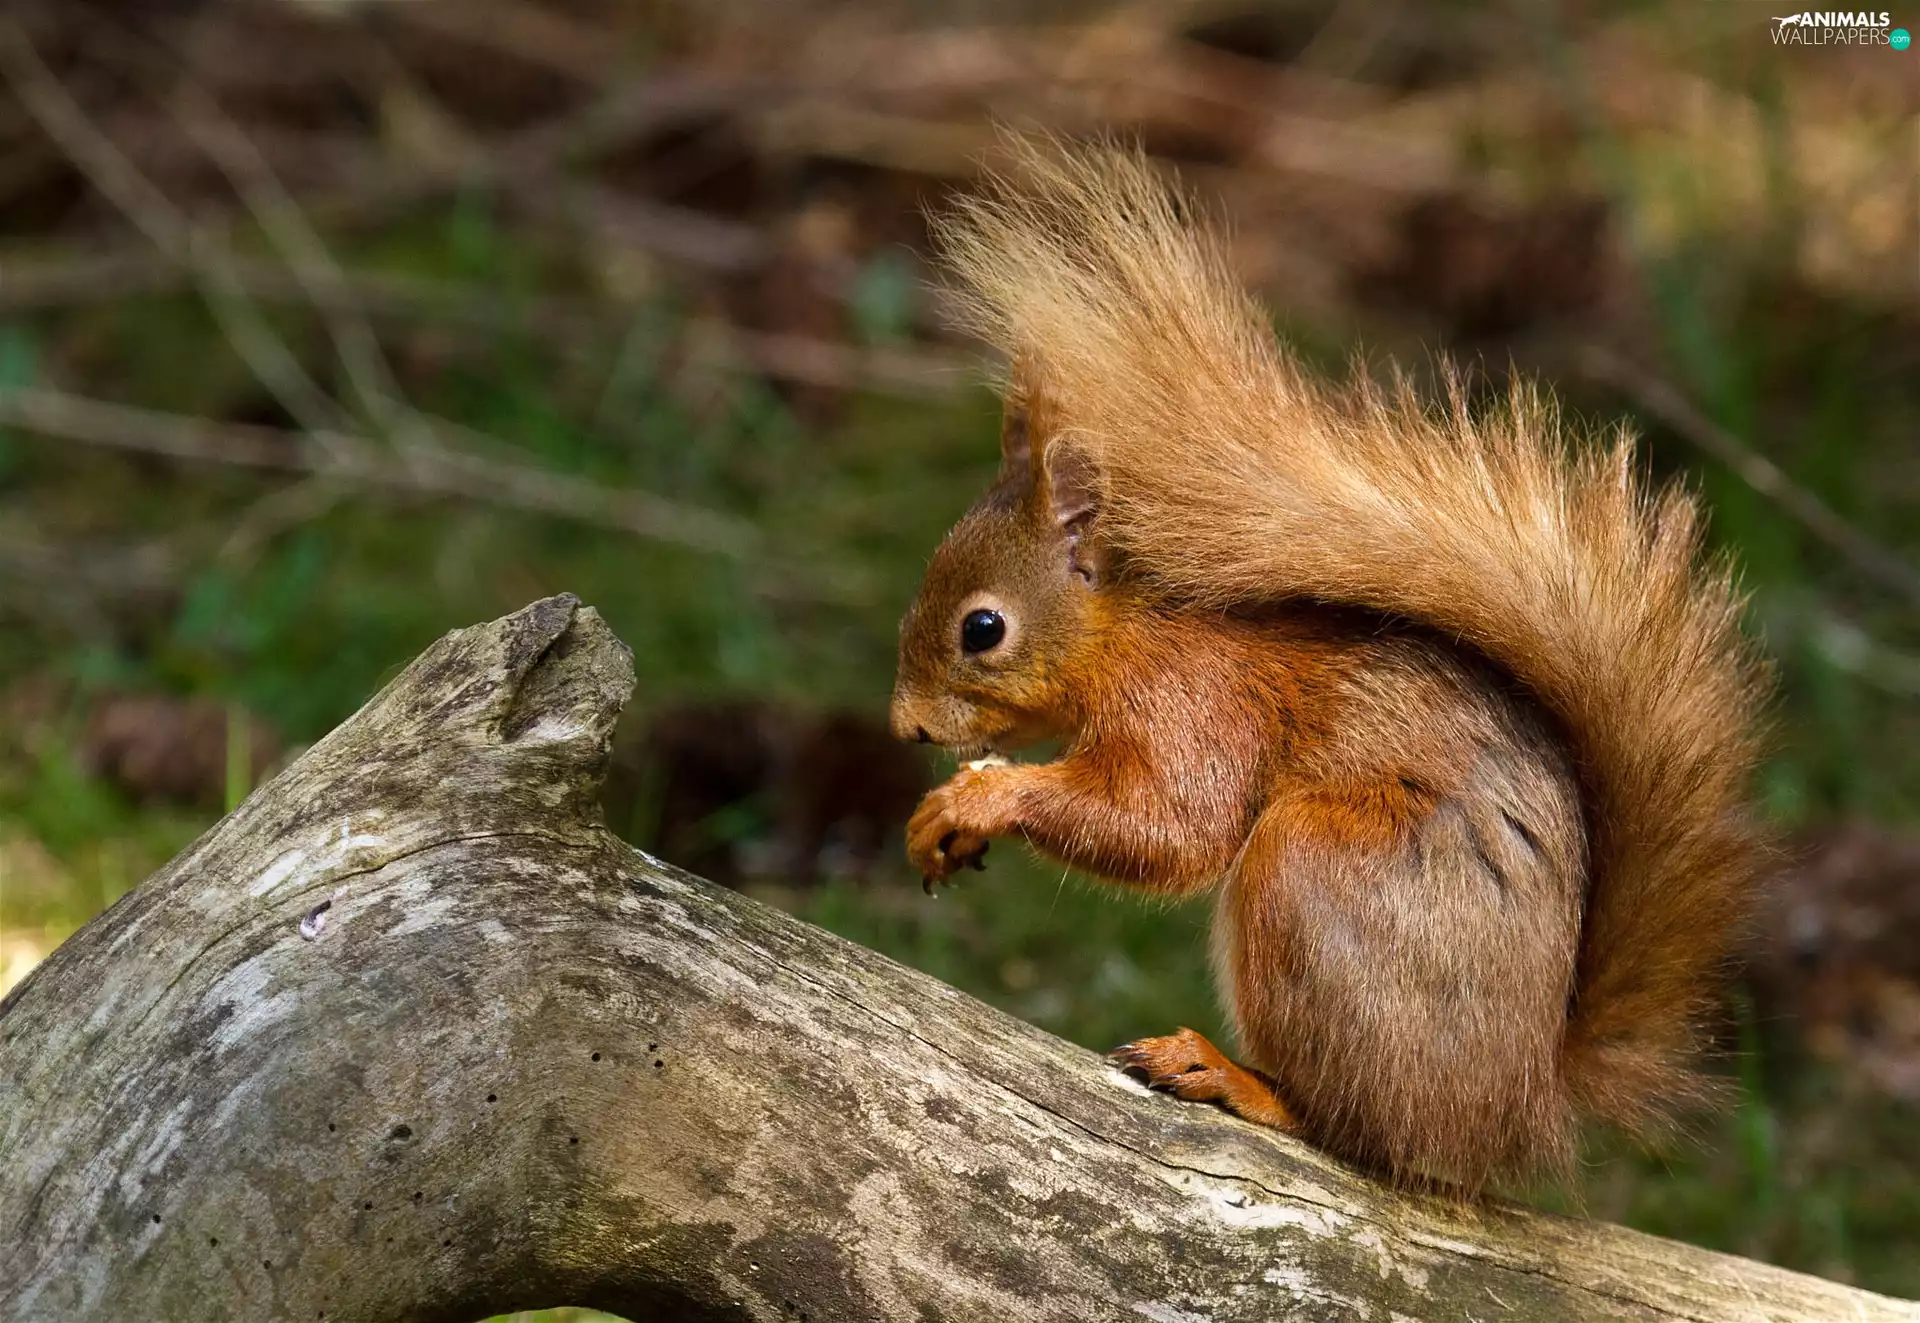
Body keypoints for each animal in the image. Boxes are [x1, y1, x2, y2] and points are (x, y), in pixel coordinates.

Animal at [887, 144, 1769, 1191]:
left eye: (982, 628)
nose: (904, 725)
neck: (1132, 630)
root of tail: (1520, 1107)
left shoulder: (1197, 701)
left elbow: (1172, 826)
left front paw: (981, 797)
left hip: (1317, 873)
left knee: (1356, 1131)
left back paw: (1233, 1076)